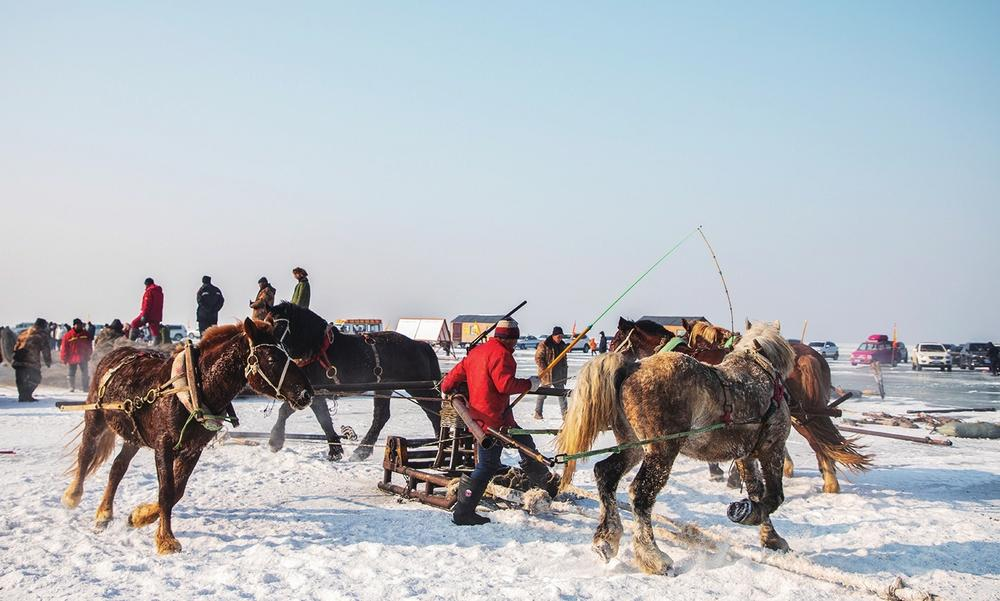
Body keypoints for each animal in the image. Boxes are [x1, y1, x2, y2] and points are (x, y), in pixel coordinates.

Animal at [63, 318, 312, 552]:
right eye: (272, 359)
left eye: (287, 354)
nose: (306, 393)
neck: (194, 388)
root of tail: (114, 353)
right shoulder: (164, 445)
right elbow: (166, 491)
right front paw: (166, 540)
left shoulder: (193, 448)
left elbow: (177, 492)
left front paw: (140, 516)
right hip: (95, 418)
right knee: (86, 454)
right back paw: (73, 496)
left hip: (134, 436)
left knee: (117, 467)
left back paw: (104, 513)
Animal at [266, 302, 442, 462]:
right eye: (267, 323)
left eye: (281, 324)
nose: (269, 350)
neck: (315, 348)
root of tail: (420, 344)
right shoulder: (306, 392)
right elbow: (286, 411)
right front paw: (276, 441)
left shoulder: (314, 393)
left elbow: (322, 420)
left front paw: (334, 451)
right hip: (384, 388)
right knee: (381, 416)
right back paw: (362, 451)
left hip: (419, 388)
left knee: (434, 411)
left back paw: (440, 445)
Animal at [560, 322, 800, 576]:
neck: (760, 371)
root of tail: (632, 367)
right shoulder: (772, 448)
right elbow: (773, 496)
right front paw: (753, 517)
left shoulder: (745, 455)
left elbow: (756, 491)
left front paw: (767, 534)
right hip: (662, 450)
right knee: (640, 494)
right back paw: (653, 556)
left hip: (633, 446)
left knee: (605, 474)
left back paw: (606, 538)